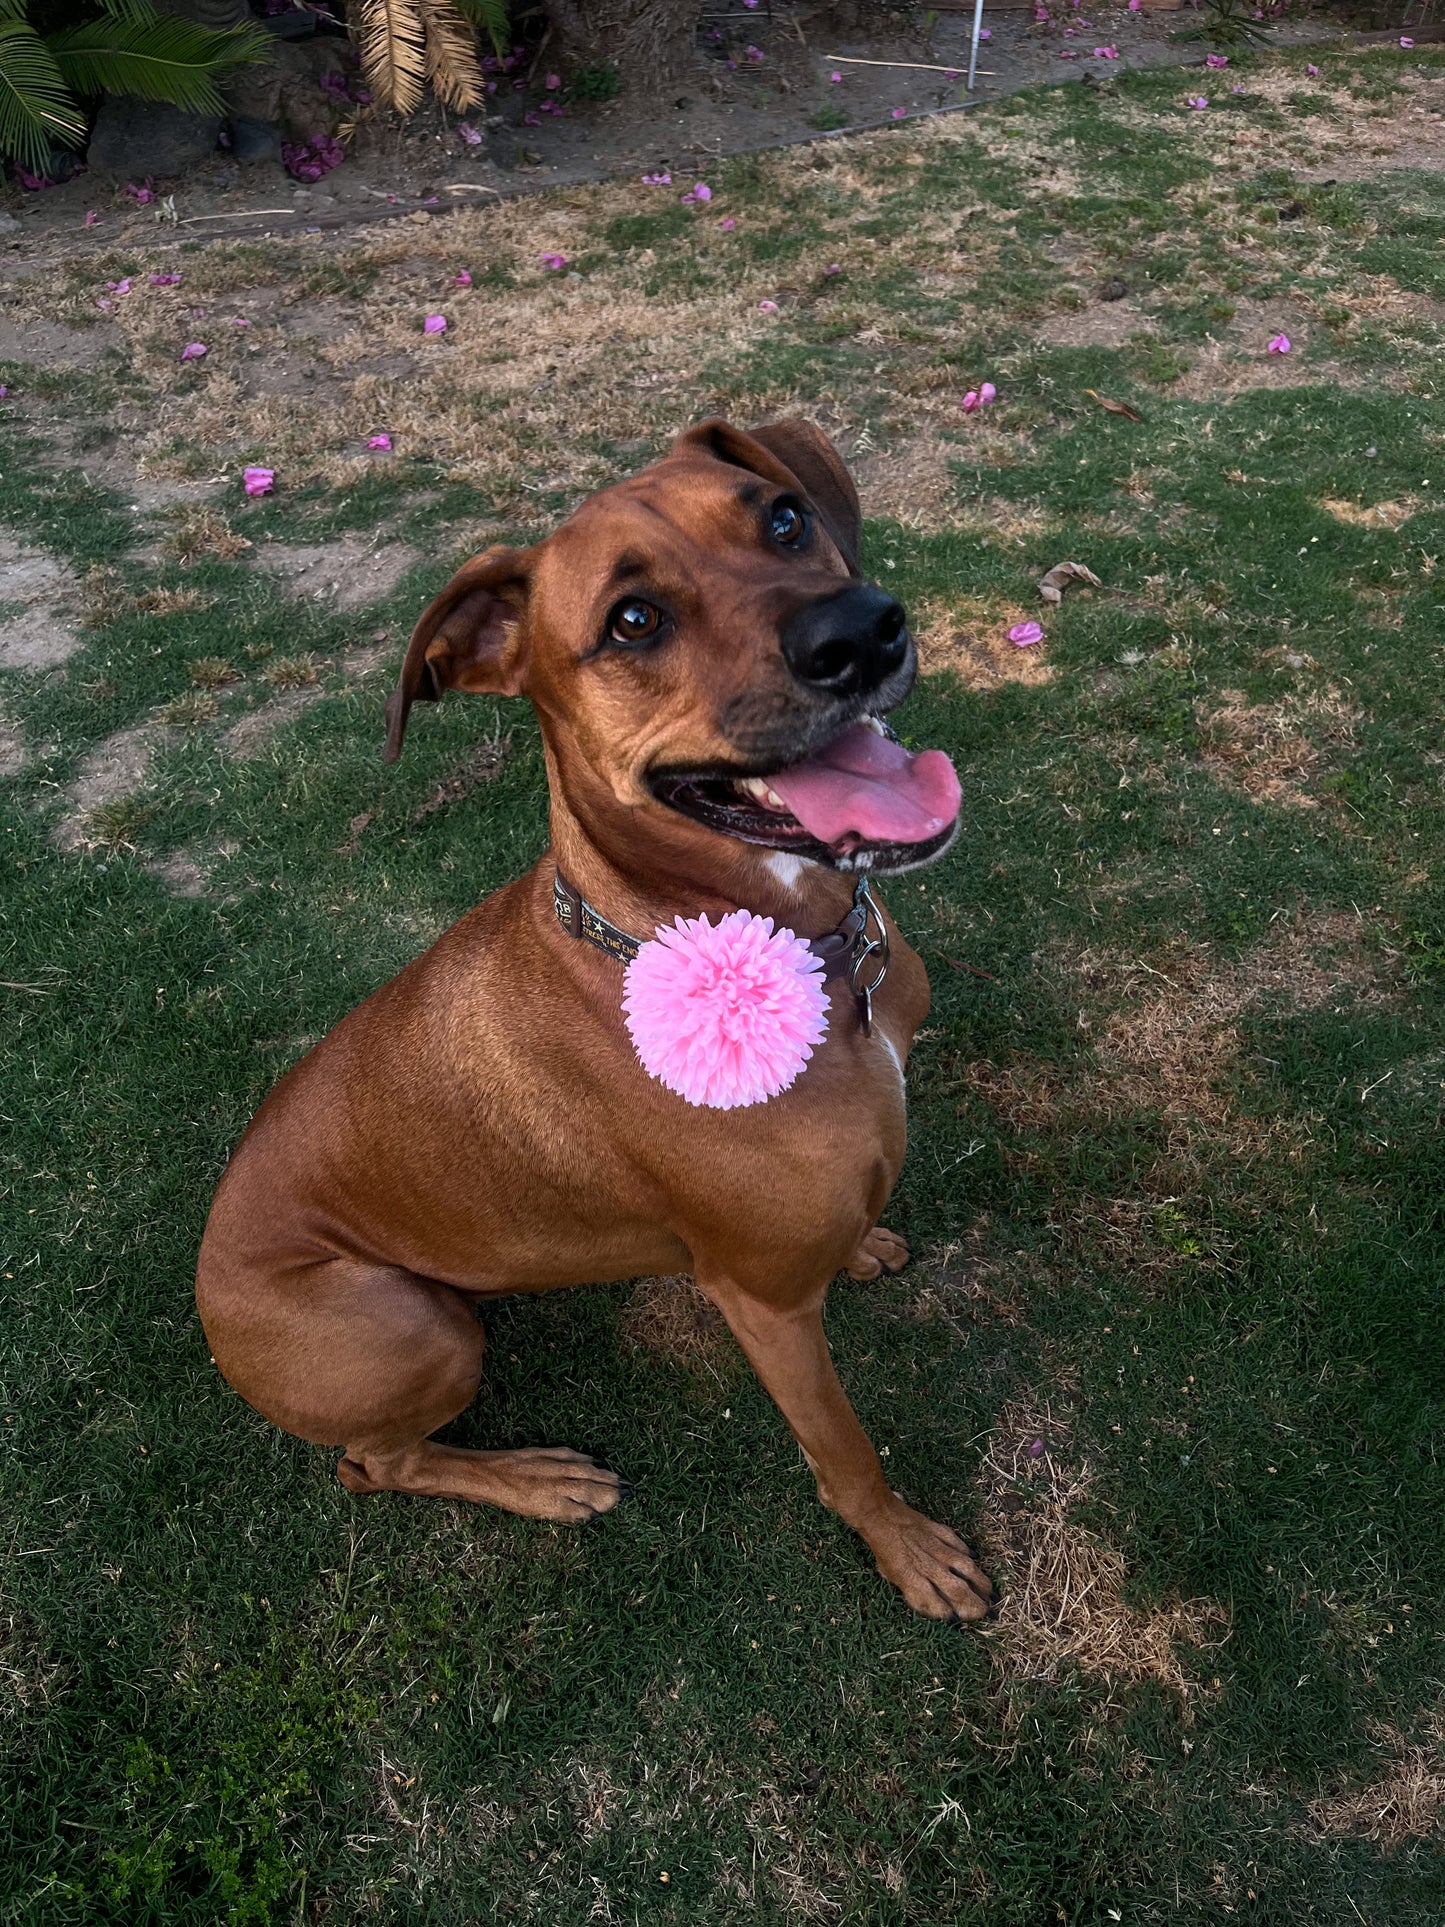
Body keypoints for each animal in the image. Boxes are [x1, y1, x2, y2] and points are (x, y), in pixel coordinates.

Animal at [198, 425, 994, 1626]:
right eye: (632, 620)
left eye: (781, 519)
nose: (861, 630)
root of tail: (203, 1283)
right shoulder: (763, 1306)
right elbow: (844, 1450)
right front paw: (905, 1548)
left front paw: (862, 1242)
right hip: (418, 1331)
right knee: (369, 1463)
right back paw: (535, 1477)